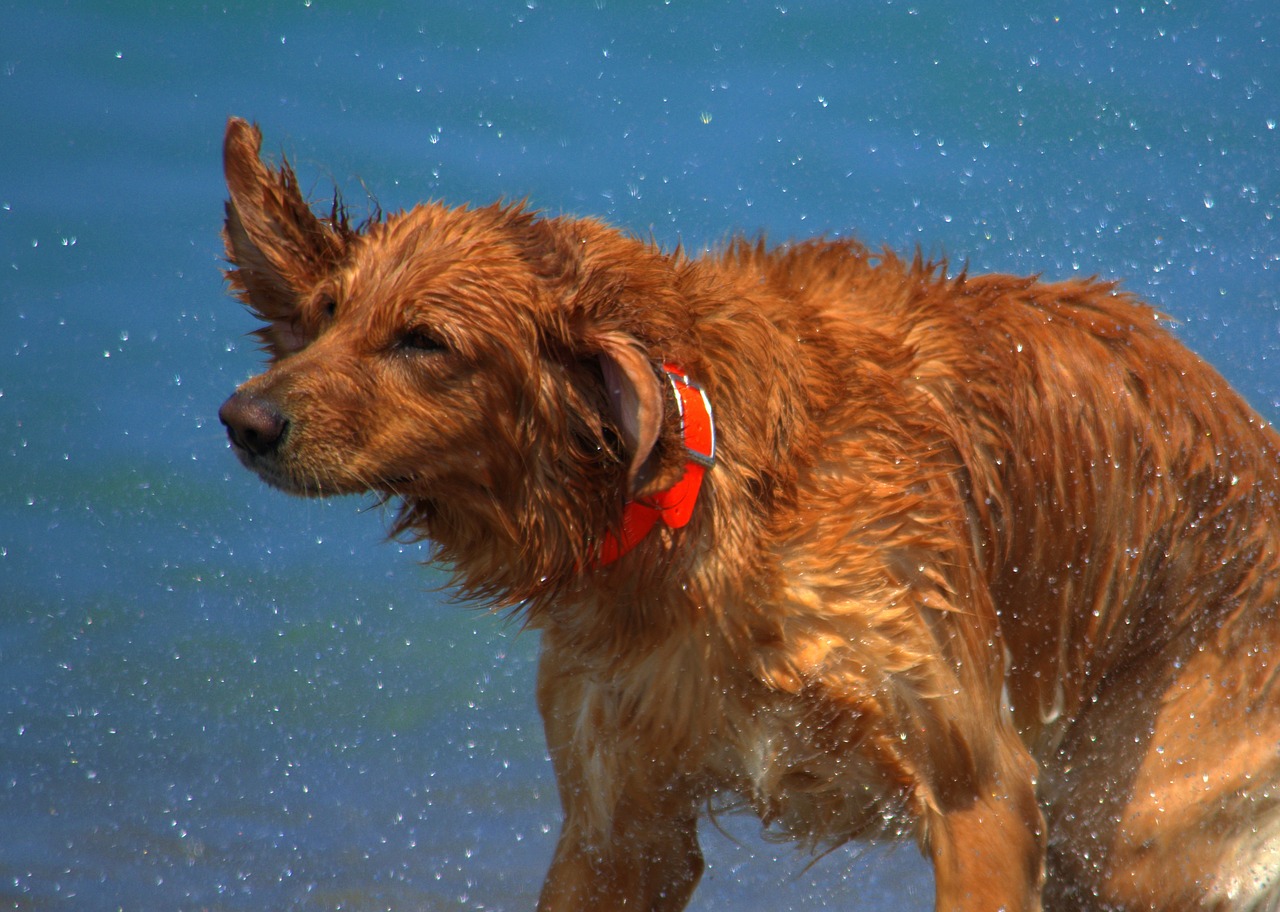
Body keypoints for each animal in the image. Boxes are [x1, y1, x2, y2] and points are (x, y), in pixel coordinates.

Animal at [220, 115, 1280, 912]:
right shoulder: (619, 823)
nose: (243, 419)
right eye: (327, 314)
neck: (698, 516)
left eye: (426, 341)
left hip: (1134, 822)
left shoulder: (979, 787)